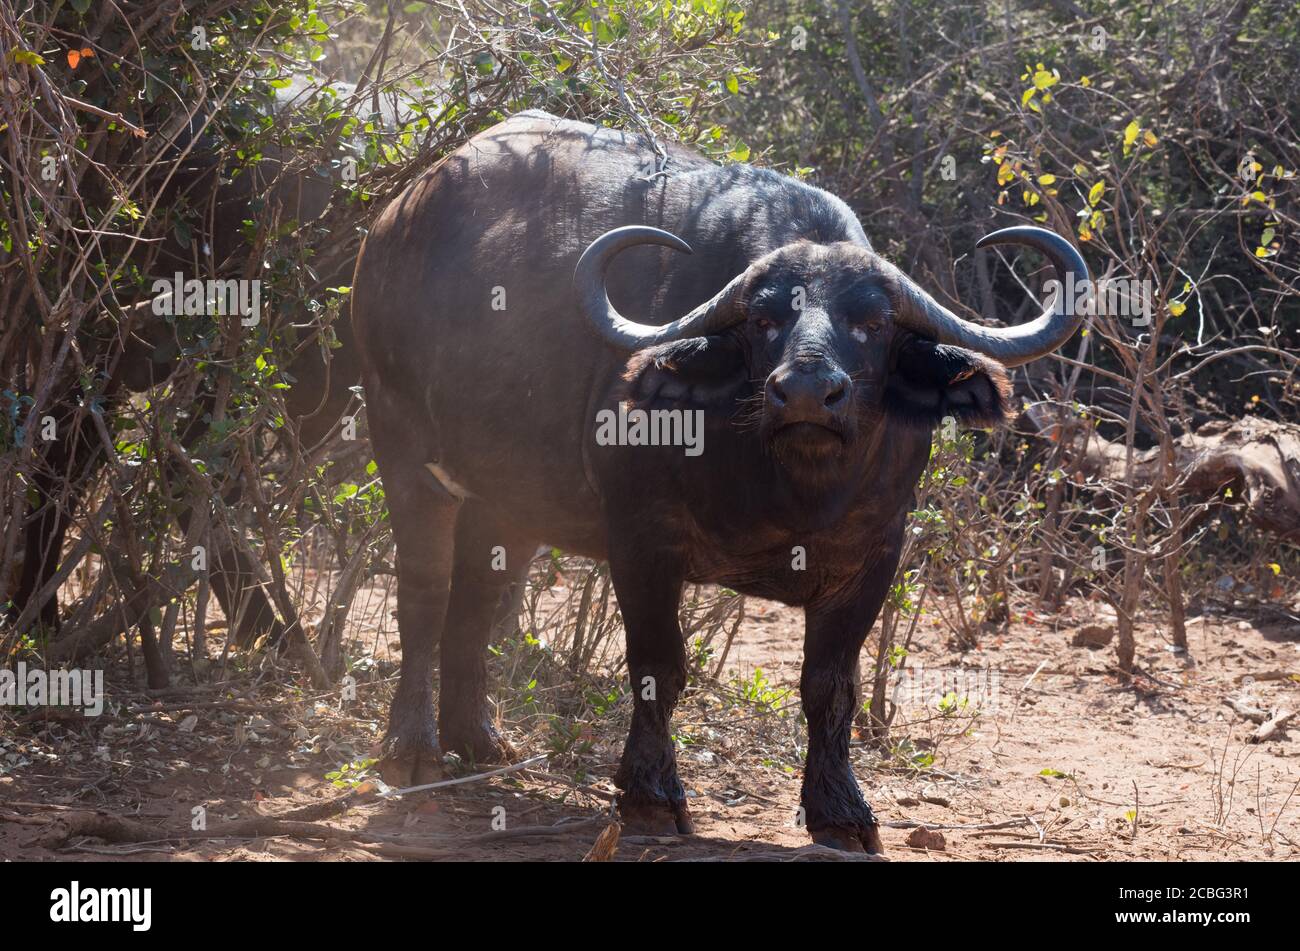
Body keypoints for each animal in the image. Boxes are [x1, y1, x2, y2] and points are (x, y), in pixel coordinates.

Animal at [348, 111, 1086, 852]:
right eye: (764, 318)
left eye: (873, 322)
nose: (808, 392)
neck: (792, 488)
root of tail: (396, 216)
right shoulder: (642, 537)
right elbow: (658, 665)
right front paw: (650, 797)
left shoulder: (875, 553)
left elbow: (831, 684)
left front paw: (842, 811)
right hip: (401, 446)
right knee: (423, 597)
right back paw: (411, 750)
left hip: (508, 504)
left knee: (476, 599)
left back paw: (478, 739)